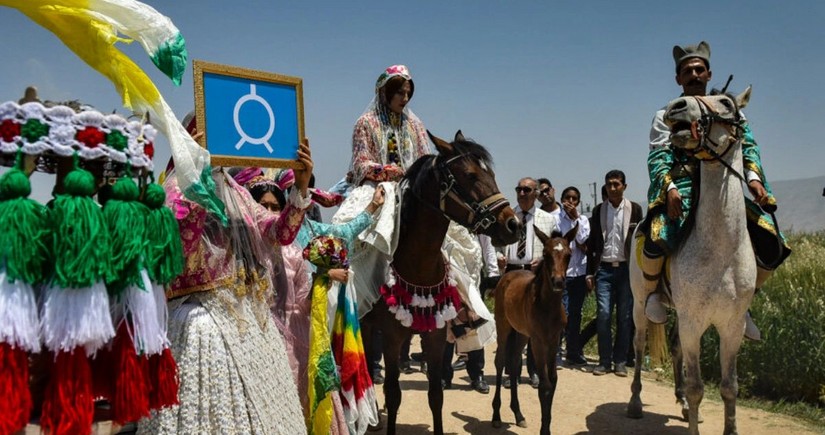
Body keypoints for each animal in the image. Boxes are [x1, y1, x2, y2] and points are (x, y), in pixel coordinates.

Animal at [358, 130, 516, 435]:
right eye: (470, 175)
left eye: (490, 173)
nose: (513, 225)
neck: (418, 265)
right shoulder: (392, 338)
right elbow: (394, 394)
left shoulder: (436, 335)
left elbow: (436, 396)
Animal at [492, 225, 576, 435]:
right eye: (545, 254)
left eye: (569, 254)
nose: (558, 281)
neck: (547, 306)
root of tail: (507, 275)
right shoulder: (538, 341)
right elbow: (544, 384)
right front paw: (544, 430)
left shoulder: (553, 340)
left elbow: (553, 380)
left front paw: (546, 425)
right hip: (503, 327)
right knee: (500, 362)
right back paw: (496, 416)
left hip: (522, 333)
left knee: (514, 364)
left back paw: (518, 414)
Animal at [628, 87, 756, 434]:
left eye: (725, 102)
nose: (676, 107)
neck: (721, 250)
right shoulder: (693, 321)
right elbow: (698, 385)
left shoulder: (731, 326)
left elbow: (730, 386)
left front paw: (728, 427)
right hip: (641, 303)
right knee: (639, 344)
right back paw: (635, 403)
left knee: (674, 350)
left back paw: (682, 402)